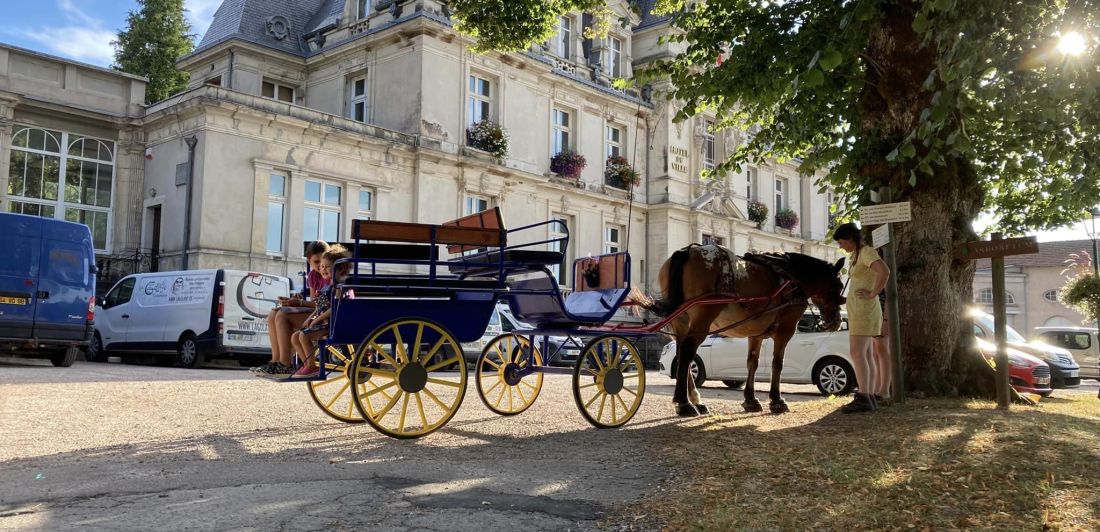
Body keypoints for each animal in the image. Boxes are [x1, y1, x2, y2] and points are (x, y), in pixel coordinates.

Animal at [633, 245, 844, 415]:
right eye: (839, 286)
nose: (837, 321)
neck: (792, 277)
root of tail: (687, 250)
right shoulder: (785, 330)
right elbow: (777, 363)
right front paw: (776, 400)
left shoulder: (756, 334)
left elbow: (752, 362)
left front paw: (750, 399)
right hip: (701, 320)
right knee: (686, 354)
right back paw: (684, 403)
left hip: (681, 323)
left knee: (681, 353)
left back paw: (695, 401)